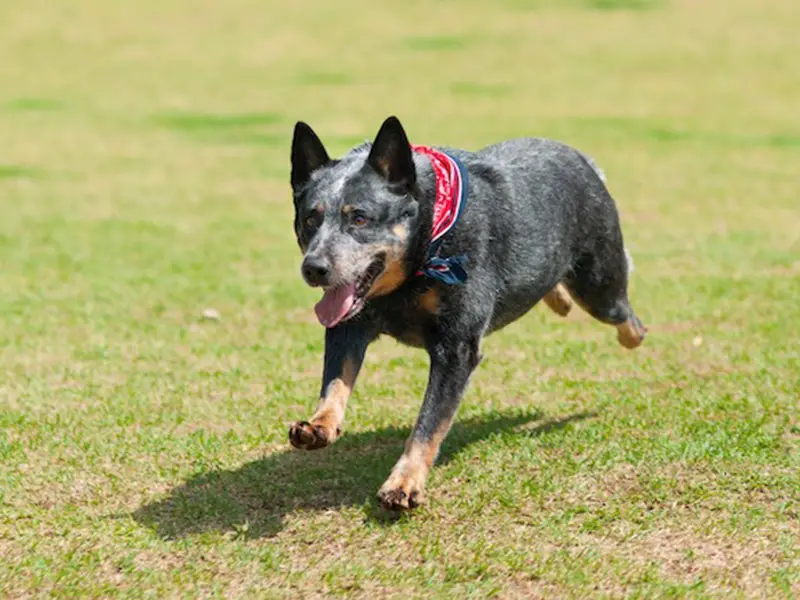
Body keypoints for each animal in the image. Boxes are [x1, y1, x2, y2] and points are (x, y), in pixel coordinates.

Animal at [286, 116, 644, 510]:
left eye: (360, 219)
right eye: (310, 219)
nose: (313, 268)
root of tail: (583, 159)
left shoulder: (456, 349)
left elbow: (428, 423)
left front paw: (404, 482)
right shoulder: (349, 323)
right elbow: (336, 381)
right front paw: (320, 425)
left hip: (600, 289)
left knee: (628, 319)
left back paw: (629, 332)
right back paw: (559, 299)